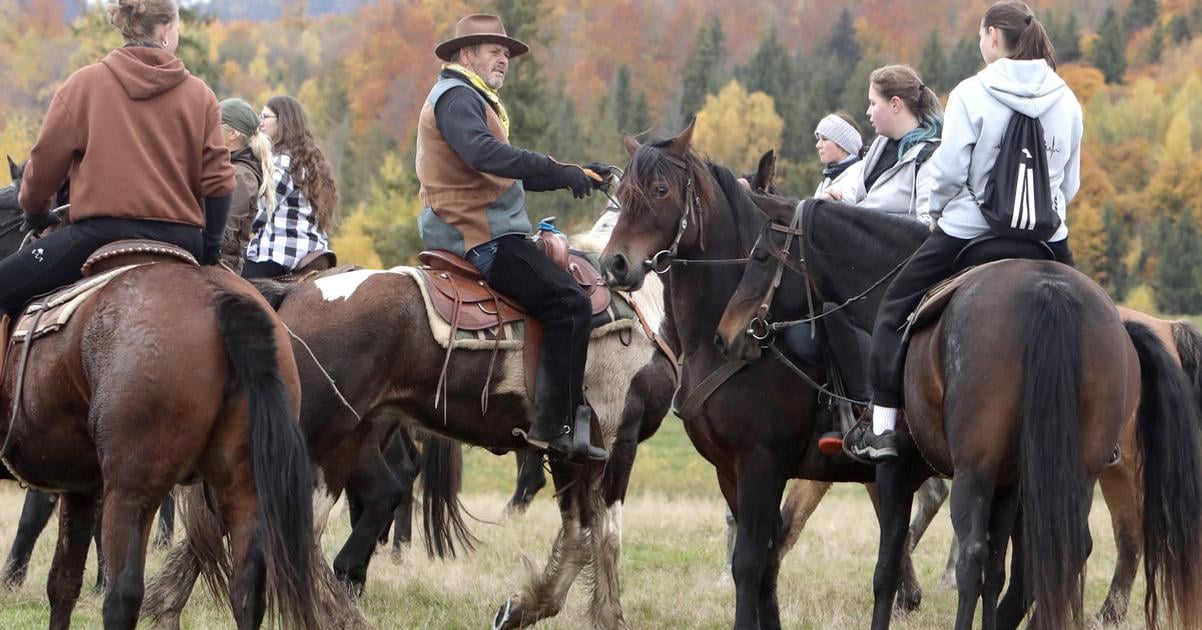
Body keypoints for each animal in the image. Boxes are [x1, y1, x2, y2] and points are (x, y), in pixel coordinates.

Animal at [599, 122, 933, 628]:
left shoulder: (763, 464)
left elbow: (751, 562)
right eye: (621, 193)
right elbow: (767, 566)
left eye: (660, 190)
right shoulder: (730, 471)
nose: (615, 264)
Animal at [713, 190, 1202, 630]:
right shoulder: (1009, 482)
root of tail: (1050, 291)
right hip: (1076, 470)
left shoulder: (895, 471)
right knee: (1059, 550)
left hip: (982, 469)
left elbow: (888, 567)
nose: (727, 335)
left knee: (978, 556)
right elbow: (995, 570)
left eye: (759, 256)